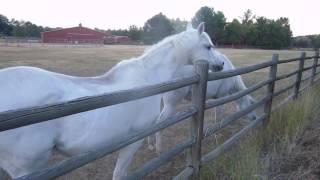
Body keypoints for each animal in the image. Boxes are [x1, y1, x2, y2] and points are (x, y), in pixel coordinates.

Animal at [0, 23, 222, 180]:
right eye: (208, 46)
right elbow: (119, 174)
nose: (220, 64)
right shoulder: (133, 140)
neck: (147, 77)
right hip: (26, 167)